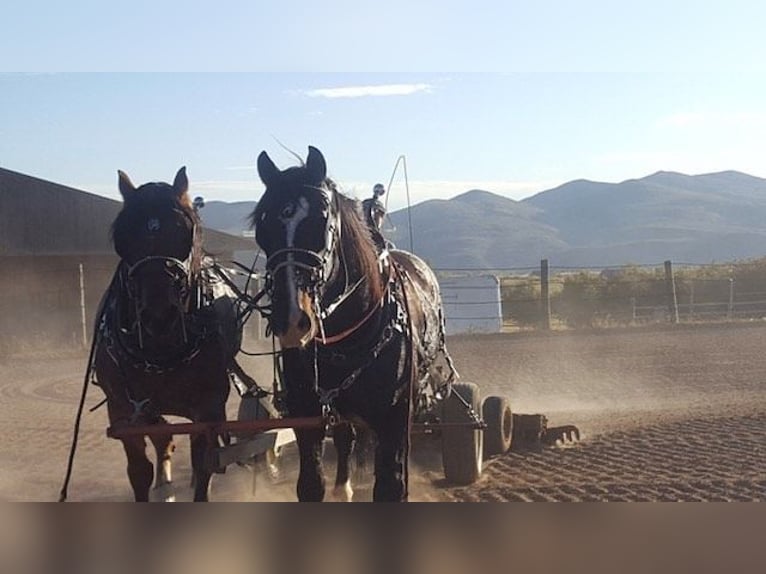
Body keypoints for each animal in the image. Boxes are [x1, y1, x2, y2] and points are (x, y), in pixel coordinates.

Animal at [92, 169, 246, 502]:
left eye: (184, 232)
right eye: (123, 237)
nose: (159, 316)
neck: (160, 350)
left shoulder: (208, 408)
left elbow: (204, 464)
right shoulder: (123, 410)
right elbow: (139, 470)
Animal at [252, 146, 456, 502]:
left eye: (321, 221)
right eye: (262, 229)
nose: (291, 320)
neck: (349, 338)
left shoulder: (394, 419)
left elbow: (391, 486)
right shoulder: (308, 414)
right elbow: (311, 484)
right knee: (346, 438)